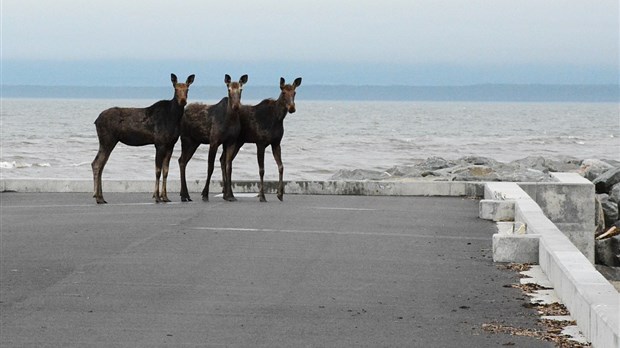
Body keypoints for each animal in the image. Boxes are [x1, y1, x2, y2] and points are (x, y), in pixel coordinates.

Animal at [90, 73, 194, 204]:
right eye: (175, 89)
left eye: (187, 89)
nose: (183, 101)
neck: (174, 118)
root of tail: (96, 120)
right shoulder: (159, 144)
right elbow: (158, 171)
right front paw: (157, 197)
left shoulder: (171, 145)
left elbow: (166, 171)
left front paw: (165, 197)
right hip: (107, 140)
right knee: (97, 164)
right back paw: (97, 197)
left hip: (107, 142)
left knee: (100, 164)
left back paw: (101, 197)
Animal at [177, 75, 247, 203]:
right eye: (229, 89)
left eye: (241, 89)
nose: (236, 106)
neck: (230, 120)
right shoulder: (214, 141)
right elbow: (210, 167)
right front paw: (205, 194)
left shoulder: (231, 142)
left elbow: (229, 166)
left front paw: (230, 195)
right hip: (186, 139)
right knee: (182, 161)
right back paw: (185, 195)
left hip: (195, 142)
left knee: (182, 160)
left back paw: (184, 194)